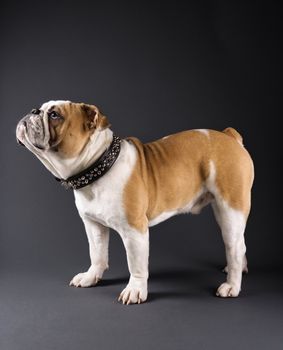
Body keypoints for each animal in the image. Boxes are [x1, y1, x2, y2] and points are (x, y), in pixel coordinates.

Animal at [16, 100, 255, 304]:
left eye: (55, 115)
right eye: (41, 108)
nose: (33, 111)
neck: (99, 165)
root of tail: (229, 136)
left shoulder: (134, 231)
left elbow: (136, 264)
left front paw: (135, 290)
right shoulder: (93, 225)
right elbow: (97, 253)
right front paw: (91, 276)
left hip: (230, 209)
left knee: (235, 246)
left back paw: (232, 285)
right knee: (240, 242)